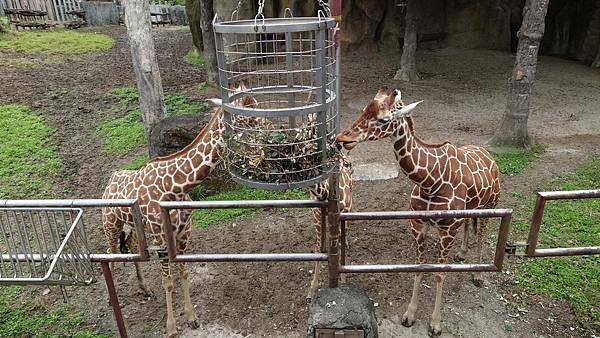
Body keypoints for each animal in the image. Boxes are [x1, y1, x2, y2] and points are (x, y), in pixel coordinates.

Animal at [336, 86, 500, 336]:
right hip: (471, 209)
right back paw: (462, 254)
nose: (343, 138)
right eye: (364, 109)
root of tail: (491, 158)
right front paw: (409, 315)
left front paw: (436, 323)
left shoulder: (446, 230)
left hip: (490, 206)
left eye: (384, 119)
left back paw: (478, 276)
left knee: (481, 236)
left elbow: (440, 273)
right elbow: (419, 268)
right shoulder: (419, 225)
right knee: (468, 227)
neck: (431, 181)